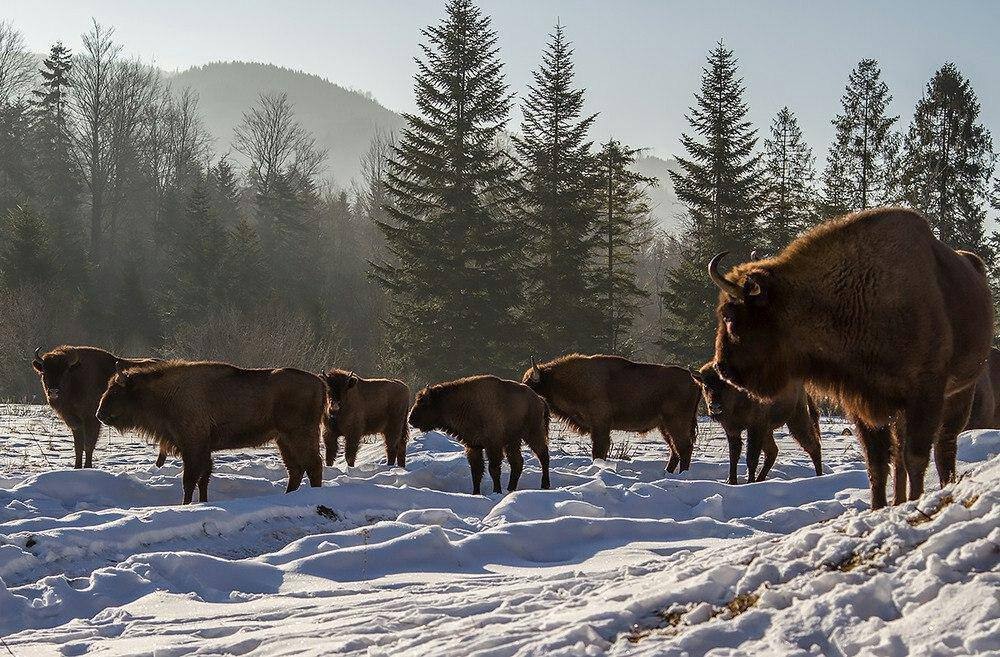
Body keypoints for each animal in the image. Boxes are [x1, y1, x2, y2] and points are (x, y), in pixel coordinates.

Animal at [95, 358, 328, 502]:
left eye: (116, 390)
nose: (99, 413)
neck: (168, 394)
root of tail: (319, 382)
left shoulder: (193, 446)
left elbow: (190, 480)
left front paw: (186, 504)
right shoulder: (202, 449)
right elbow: (203, 479)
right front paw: (203, 502)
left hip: (299, 435)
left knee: (313, 466)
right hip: (283, 439)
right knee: (296, 470)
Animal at [408, 374, 556, 492]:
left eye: (424, 403)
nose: (411, 419)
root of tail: (539, 399)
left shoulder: (493, 446)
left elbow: (493, 469)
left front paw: (496, 491)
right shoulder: (473, 446)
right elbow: (476, 472)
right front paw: (476, 493)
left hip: (533, 434)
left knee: (543, 456)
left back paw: (544, 485)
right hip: (513, 442)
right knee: (517, 462)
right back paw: (510, 488)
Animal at [520, 354, 700, 472]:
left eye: (530, 384)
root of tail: (695, 382)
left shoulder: (600, 425)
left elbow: (599, 450)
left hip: (676, 423)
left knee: (684, 448)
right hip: (664, 426)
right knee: (675, 450)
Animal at [692, 362, 824, 484]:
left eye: (725, 384)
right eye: (705, 385)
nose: (715, 407)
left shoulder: (755, 428)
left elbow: (751, 458)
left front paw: (749, 482)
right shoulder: (732, 430)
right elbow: (733, 456)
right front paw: (732, 482)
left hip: (796, 419)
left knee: (813, 446)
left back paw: (819, 477)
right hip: (768, 431)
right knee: (773, 452)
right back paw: (760, 479)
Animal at [708, 209, 996, 508]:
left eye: (730, 316)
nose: (722, 367)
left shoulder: (924, 395)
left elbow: (915, 456)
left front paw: (914, 501)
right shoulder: (865, 403)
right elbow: (877, 463)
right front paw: (879, 507)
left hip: (960, 392)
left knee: (943, 447)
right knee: (903, 454)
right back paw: (899, 499)